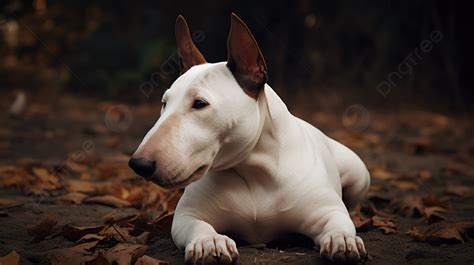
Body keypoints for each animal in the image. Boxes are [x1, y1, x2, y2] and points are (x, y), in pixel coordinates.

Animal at [129, 13, 370, 262]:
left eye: (200, 103)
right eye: (164, 103)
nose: (139, 164)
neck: (254, 170)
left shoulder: (326, 211)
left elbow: (338, 221)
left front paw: (343, 239)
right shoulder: (187, 215)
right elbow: (197, 224)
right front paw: (209, 242)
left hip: (359, 172)